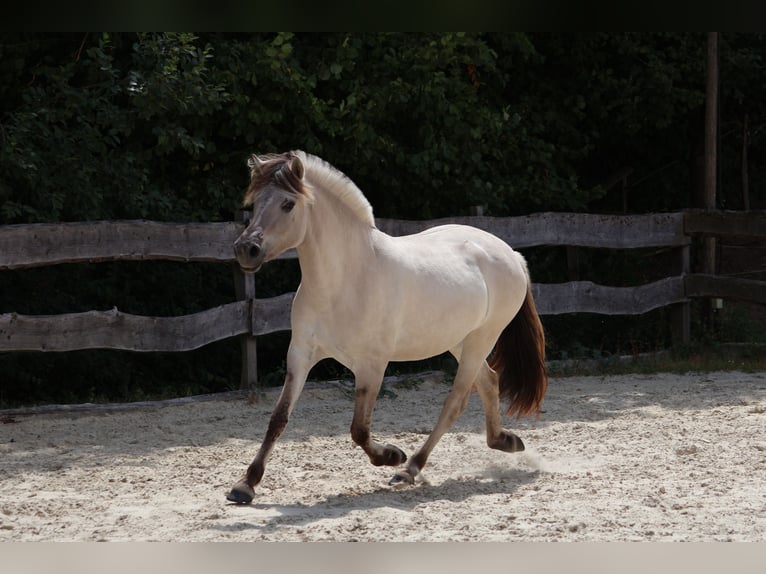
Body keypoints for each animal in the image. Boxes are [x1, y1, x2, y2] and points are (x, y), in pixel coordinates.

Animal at [227, 150, 547, 504]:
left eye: (288, 204)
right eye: (255, 202)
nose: (246, 250)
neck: (345, 280)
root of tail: (512, 255)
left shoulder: (372, 365)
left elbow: (359, 429)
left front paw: (393, 455)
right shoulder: (301, 354)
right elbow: (279, 417)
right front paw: (245, 484)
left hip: (482, 338)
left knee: (456, 400)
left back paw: (409, 469)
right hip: (459, 341)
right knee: (489, 381)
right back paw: (504, 441)